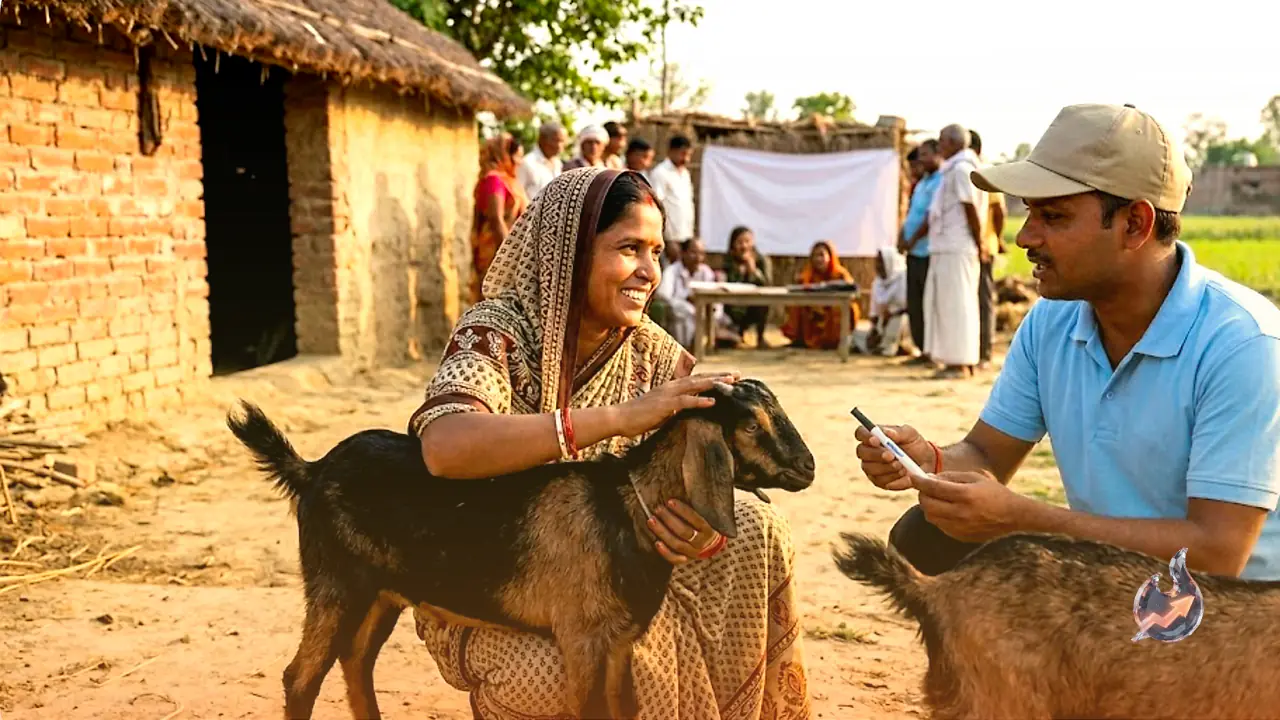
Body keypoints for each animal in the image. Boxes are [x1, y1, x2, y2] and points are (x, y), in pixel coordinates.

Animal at [228, 378, 815, 720]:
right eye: (753, 424)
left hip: (381, 593)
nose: (807, 467)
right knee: (302, 677)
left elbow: (624, 710)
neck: (626, 505)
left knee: (355, 662)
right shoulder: (581, 639)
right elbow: (589, 712)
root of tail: (312, 470)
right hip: (336, 583)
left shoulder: (619, 642)